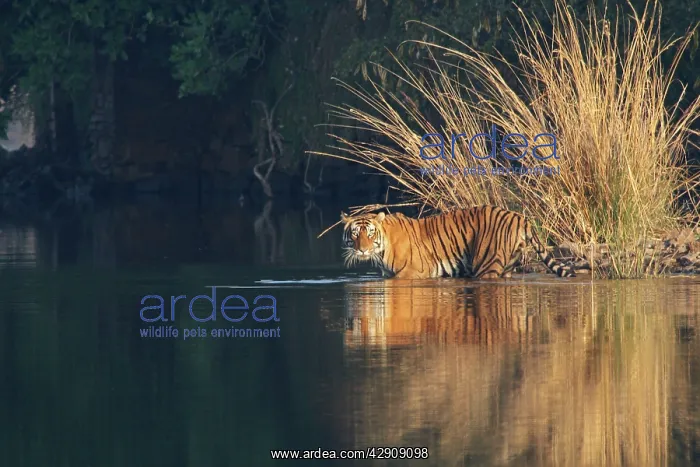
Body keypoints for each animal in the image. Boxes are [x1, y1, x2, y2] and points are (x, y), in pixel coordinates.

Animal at [340, 205, 575, 279]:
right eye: (355, 234)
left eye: (370, 234)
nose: (362, 250)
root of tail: (520, 217)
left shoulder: (414, 272)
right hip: (507, 266)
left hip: (486, 265)